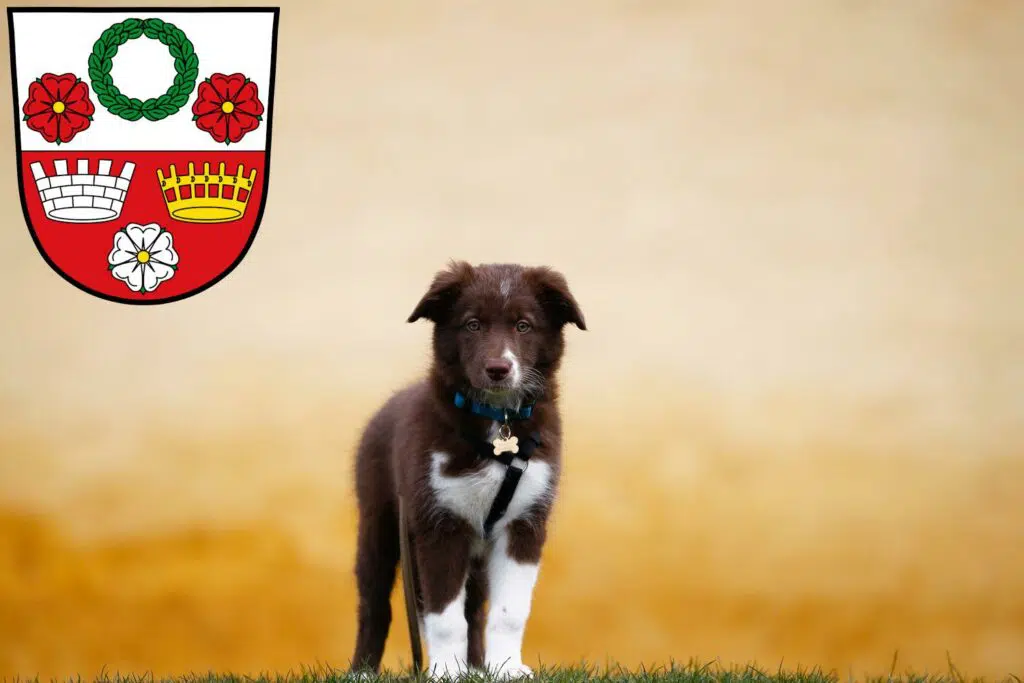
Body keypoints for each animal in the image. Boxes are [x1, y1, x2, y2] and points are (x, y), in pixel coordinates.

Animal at [350, 260, 585, 679]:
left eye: (523, 325)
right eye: (473, 324)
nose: (498, 369)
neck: (497, 422)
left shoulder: (524, 523)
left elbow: (508, 612)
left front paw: (506, 668)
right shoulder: (440, 524)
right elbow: (444, 616)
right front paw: (445, 672)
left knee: (472, 609)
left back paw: (475, 668)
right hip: (380, 523)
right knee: (376, 603)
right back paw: (363, 670)